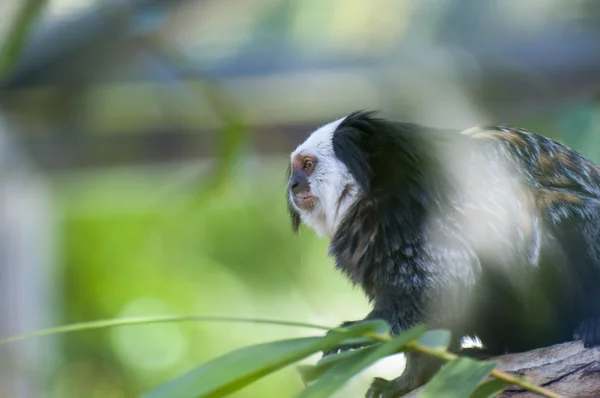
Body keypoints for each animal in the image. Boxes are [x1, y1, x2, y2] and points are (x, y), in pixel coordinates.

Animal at [286, 110, 600, 396]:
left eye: (308, 165)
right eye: (295, 169)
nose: (292, 184)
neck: (371, 191)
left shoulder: (410, 219)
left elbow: (437, 295)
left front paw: (363, 344)